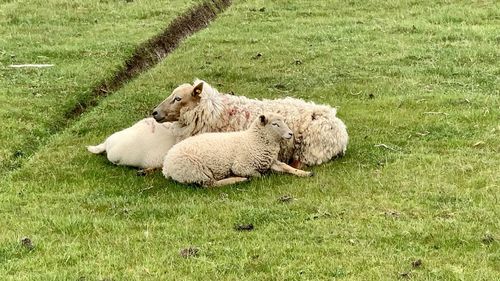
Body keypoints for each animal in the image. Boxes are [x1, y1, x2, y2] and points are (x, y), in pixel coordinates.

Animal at [163, 111, 312, 186]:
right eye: (275, 124)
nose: (291, 134)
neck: (254, 140)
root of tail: (166, 166)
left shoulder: (272, 161)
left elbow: (287, 167)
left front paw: (305, 173)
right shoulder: (241, 166)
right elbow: (258, 175)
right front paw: (256, 176)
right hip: (196, 170)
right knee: (211, 184)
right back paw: (237, 180)